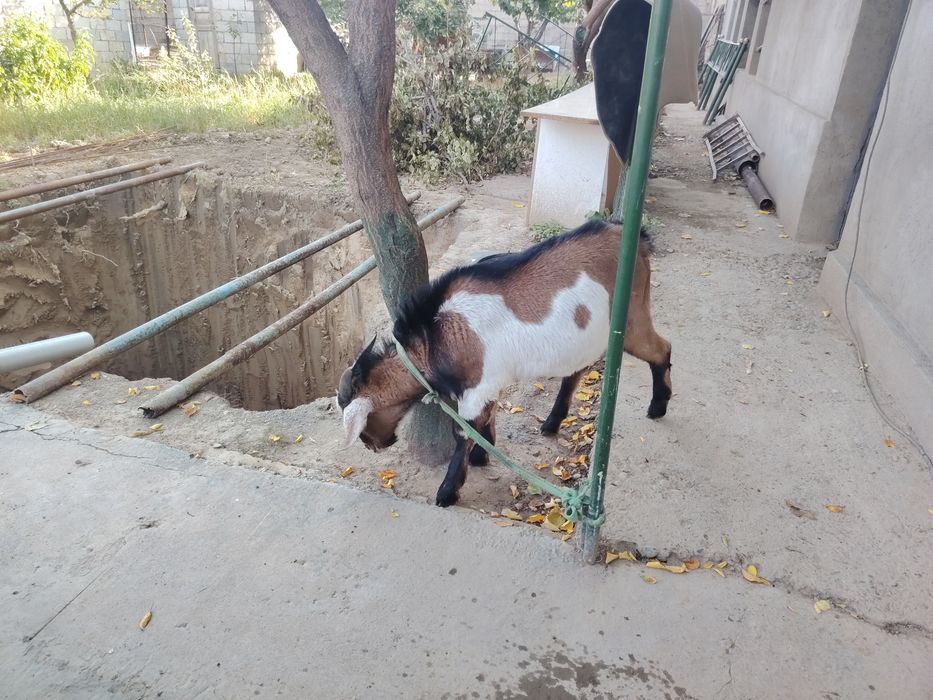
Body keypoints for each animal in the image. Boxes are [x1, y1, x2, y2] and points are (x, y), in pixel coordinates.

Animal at [336, 218, 672, 507]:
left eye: (362, 426)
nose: (373, 446)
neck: (432, 337)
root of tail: (637, 238)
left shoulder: (477, 385)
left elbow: (464, 431)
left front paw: (449, 490)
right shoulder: (488, 382)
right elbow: (488, 416)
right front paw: (482, 455)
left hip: (631, 318)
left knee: (662, 349)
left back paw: (658, 406)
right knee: (578, 369)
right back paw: (552, 422)